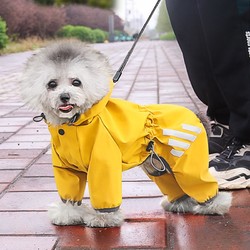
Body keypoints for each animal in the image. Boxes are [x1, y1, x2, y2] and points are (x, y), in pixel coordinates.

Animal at [20, 40, 232, 228]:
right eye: (52, 84)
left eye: (76, 82)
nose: (64, 97)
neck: (74, 126)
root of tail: (196, 116)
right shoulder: (66, 170)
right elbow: (69, 195)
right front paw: (68, 214)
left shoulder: (103, 165)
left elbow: (105, 193)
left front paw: (104, 218)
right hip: (158, 165)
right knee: (174, 184)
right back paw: (179, 203)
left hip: (186, 163)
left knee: (200, 183)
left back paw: (215, 205)